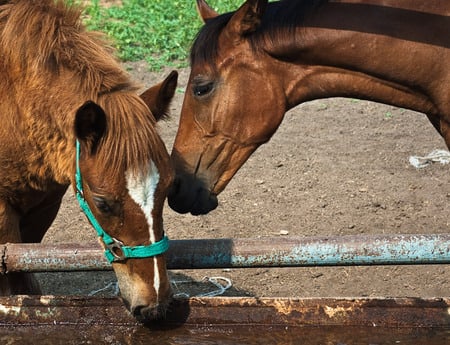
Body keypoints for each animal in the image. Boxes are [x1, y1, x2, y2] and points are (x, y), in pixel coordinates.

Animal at [0, 0, 179, 322]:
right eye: (103, 203)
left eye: (167, 191)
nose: (155, 305)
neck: (13, 102)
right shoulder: (3, 211)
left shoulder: (43, 205)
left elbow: (25, 268)